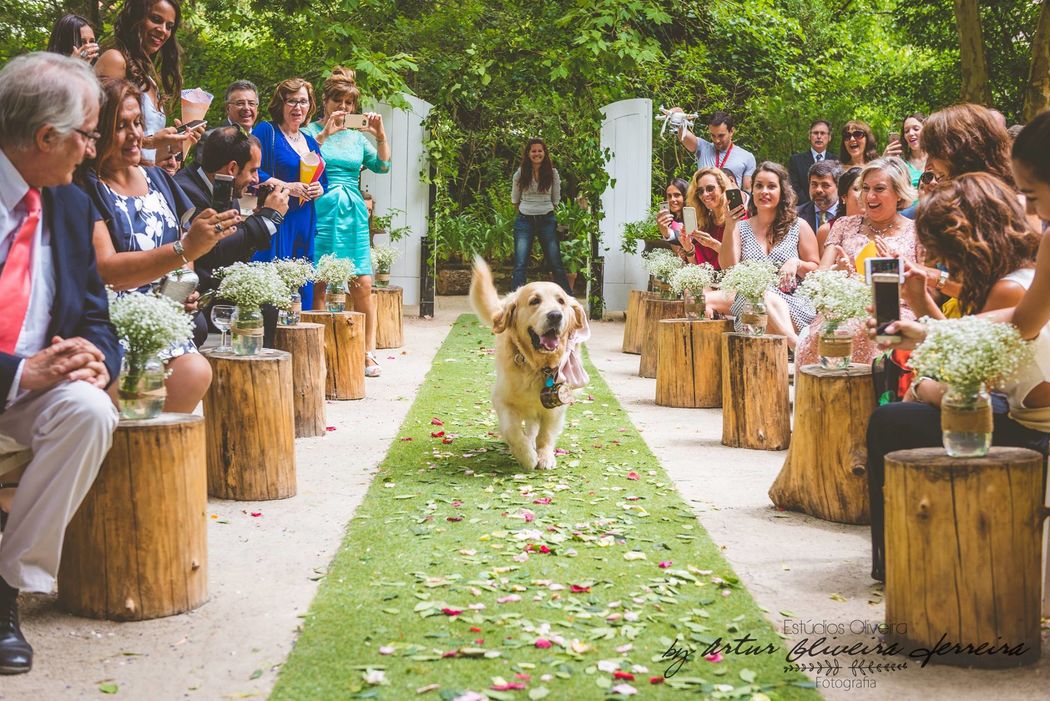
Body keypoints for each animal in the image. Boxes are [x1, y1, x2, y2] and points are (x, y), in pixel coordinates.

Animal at [470, 257, 590, 470]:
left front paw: (544, 456)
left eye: (561, 301)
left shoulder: (557, 406)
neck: (537, 365)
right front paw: (527, 456)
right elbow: (513, 431)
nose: (555, 315)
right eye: (535, 301)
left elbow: (546, 434)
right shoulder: (502, 400)